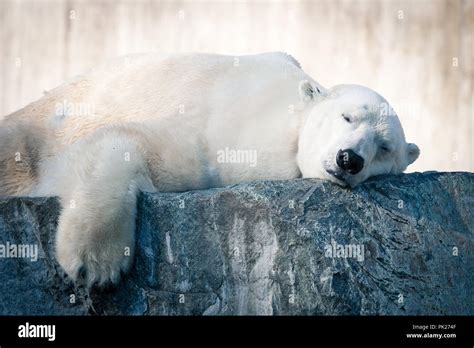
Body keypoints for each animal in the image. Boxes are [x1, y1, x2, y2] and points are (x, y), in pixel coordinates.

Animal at [0, 52, 420, 286]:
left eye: (384, 147)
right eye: (347, 117)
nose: (350, 159)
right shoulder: (215, 138)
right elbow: (131, 143)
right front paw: (96, 262)